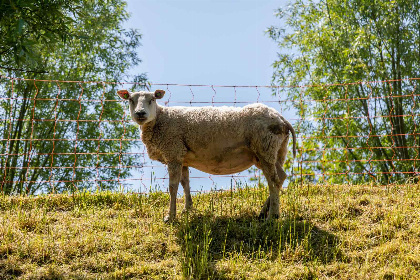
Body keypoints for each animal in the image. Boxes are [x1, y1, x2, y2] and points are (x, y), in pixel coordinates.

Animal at [116, 88, 296, 222]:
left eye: (152, 99)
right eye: (130, 100)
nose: (140, 113)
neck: (161, 120)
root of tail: (281, 119)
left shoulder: (173, 152)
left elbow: (173, 187)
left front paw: (170, 217)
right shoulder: (182, 156)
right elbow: (185, 183)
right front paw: (188, 209)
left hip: (265, 148)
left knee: (273, 180)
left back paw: (272, 216)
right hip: (275, 151)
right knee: (281, 177)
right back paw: (264, 212)